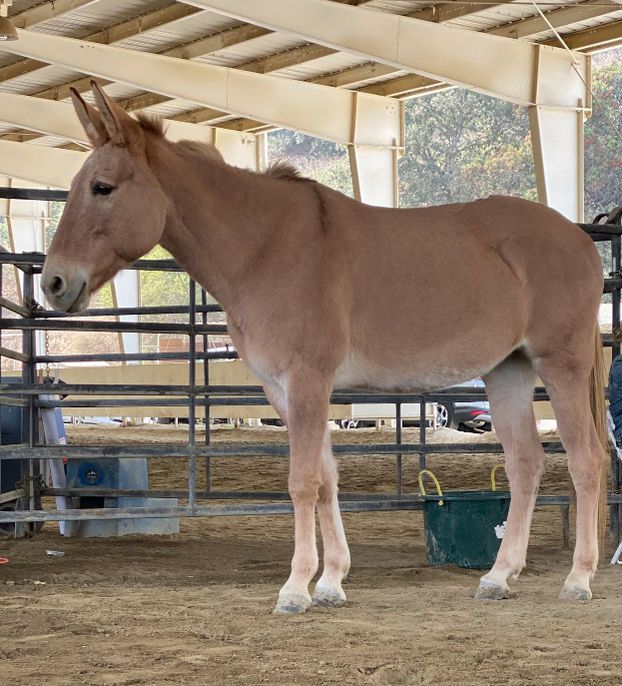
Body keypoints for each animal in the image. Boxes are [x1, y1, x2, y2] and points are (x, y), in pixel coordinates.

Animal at [41, 82, 608, 614]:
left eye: (102, 187)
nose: (53, 283)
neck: (266, 247)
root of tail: (580, 241)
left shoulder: (308, 380)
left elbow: (302, 481)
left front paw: (296, 588)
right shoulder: (283, 390)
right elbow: (328, 479)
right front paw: (332, 581)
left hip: (561, 365)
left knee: (585, 460)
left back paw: (578, 578)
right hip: (508, 371)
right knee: (525, 463)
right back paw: (498, 575)